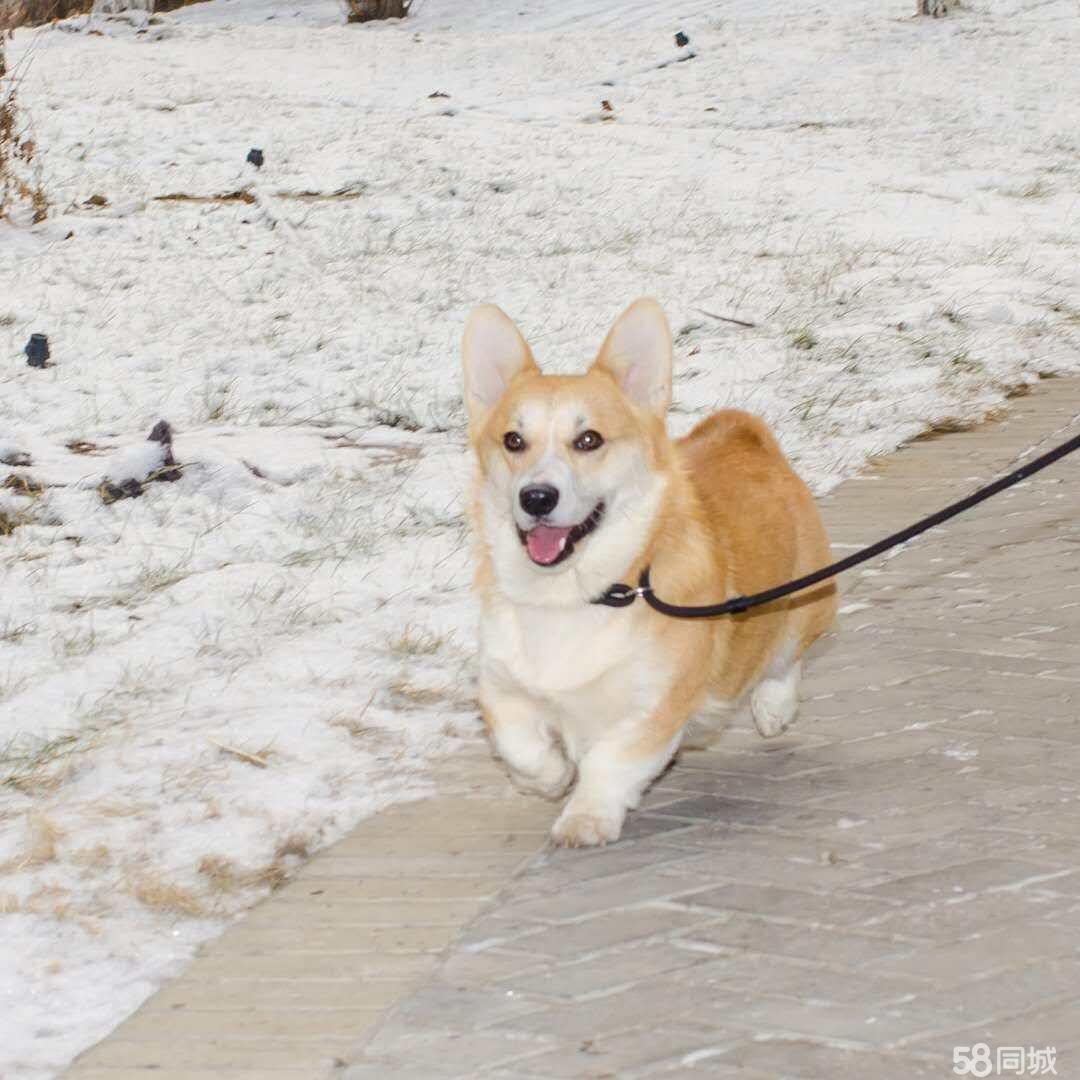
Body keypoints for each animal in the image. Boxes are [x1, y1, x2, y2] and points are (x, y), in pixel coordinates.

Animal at [462, 300, 833, 846]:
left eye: (588, 439)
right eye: (513, 440)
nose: (536, 497)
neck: (577, 593)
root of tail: (745, 433)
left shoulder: (654, 706)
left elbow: (610, 761)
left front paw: (585, 818)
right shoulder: (501, 685)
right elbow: (521, 746)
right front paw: (550, 778)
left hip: (806, 596)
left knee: (786, 656)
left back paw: (773, 707)